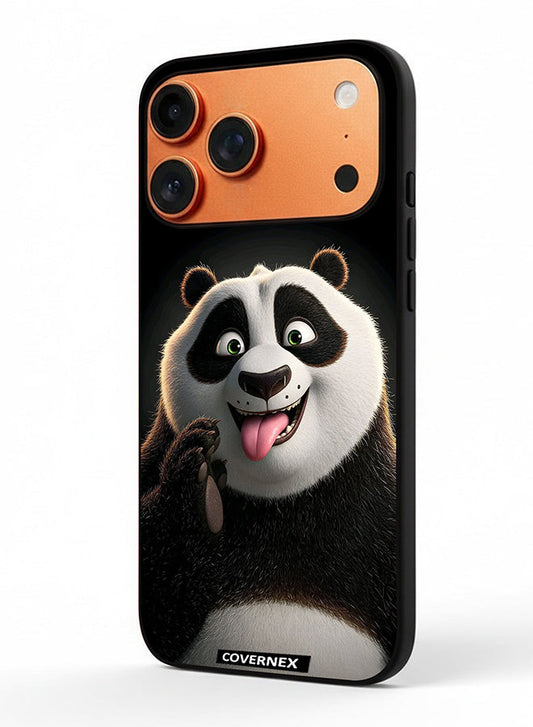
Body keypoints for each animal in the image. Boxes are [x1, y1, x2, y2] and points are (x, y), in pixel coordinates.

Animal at [140, 248, 397, 682]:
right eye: (230, 345)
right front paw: (200, 489)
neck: (281, 500)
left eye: (297, 335)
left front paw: (201, 489)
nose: (265, 381)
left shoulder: (381, 505)